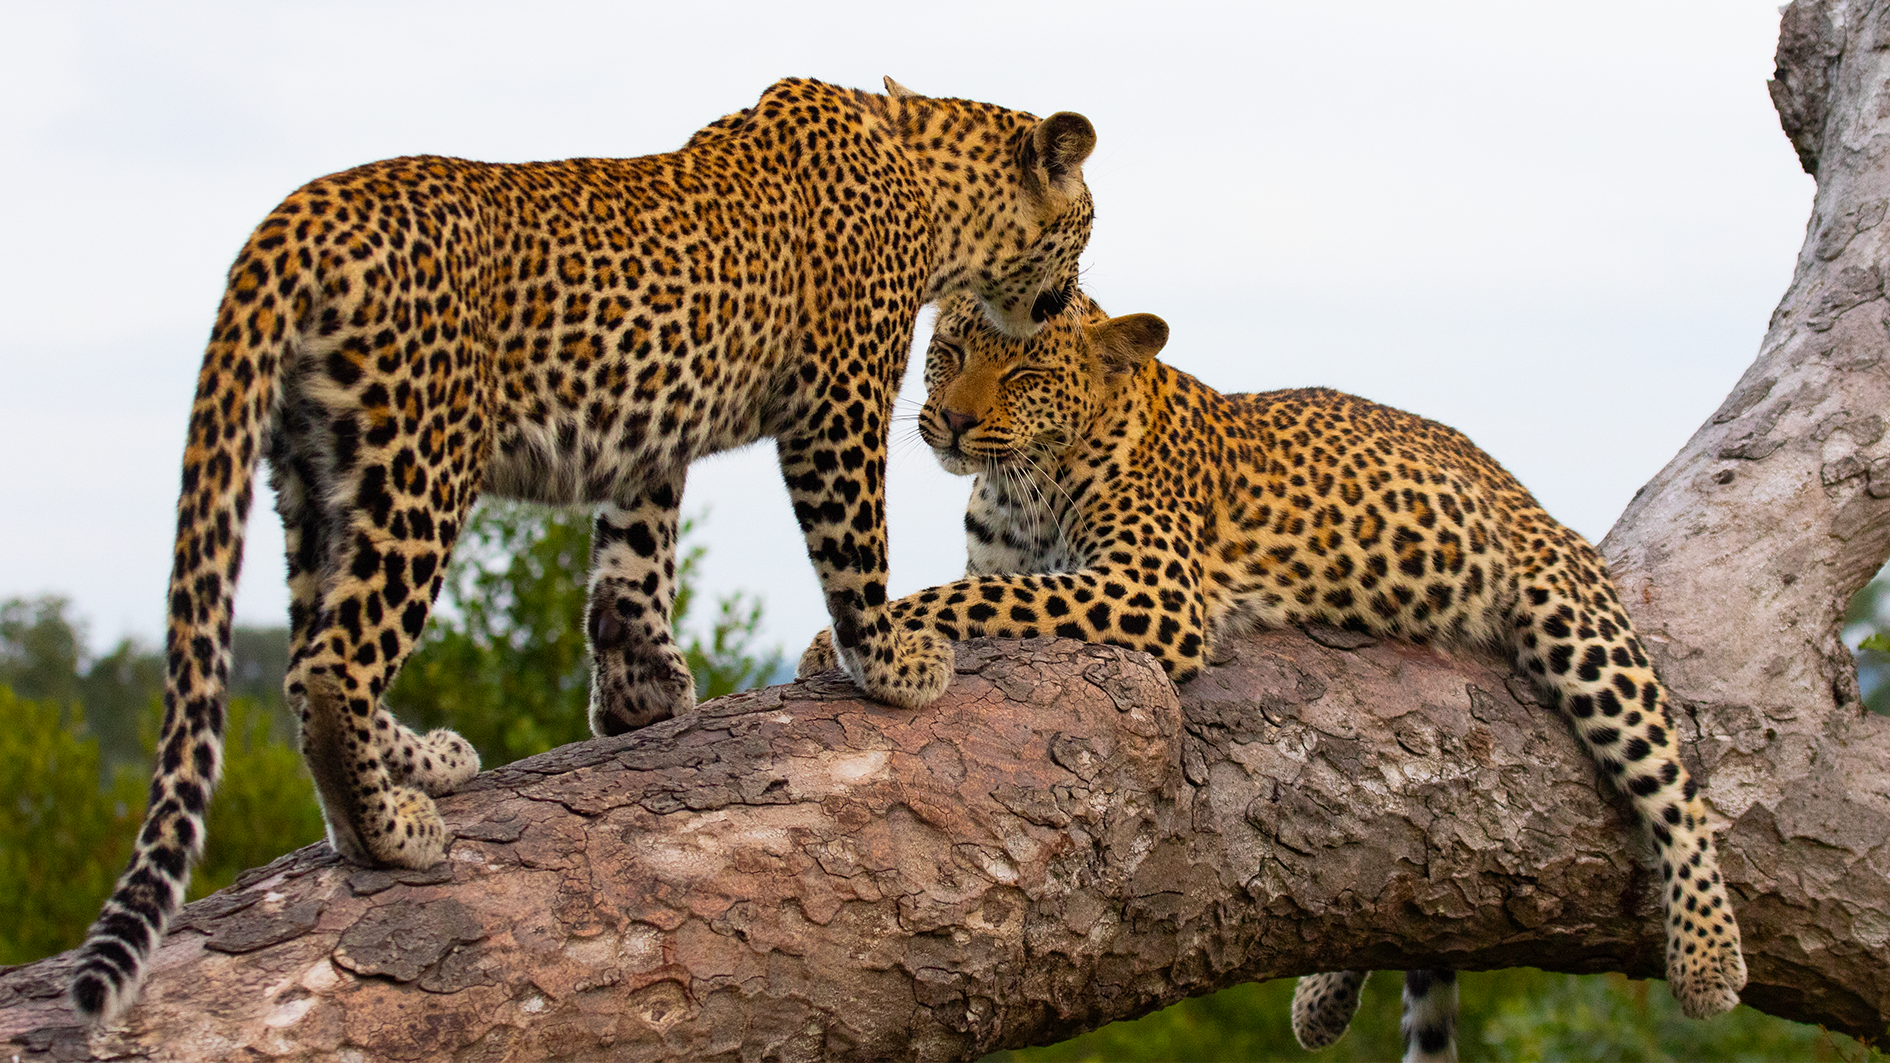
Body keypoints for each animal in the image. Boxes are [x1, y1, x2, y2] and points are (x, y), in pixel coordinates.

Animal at [73, 72, 1103, 1021]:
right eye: (1088, 221)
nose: (1071, 297)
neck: (934, 189)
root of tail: (297, 216)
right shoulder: (839, 405)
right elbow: (856, 546)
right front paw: (890, 664)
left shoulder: (650, 433)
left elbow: (630, 564)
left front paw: (640, 697)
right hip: (417, 462)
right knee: (331, 665)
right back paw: (388, 833)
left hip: (313, 479)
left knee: (298, 653)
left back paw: (414, 764)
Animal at [793, 285, 1738, 1036]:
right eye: (948, 352)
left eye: (1025, 376)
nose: (951, 420)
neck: (1024, 485)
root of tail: (1530, 497)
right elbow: (978, 585)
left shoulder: (1152, 590)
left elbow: (977, 599)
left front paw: (847, 640)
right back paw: (1323, 998)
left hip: (1575, 622)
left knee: (1677, 791)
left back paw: (1710, 957)